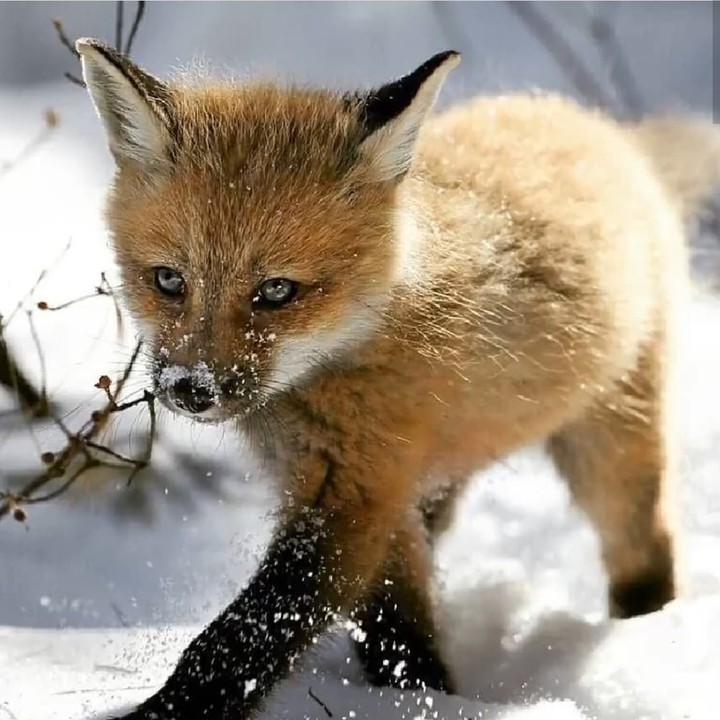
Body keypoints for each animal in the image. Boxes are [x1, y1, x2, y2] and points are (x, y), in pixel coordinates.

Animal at [75, 37, 720, 720]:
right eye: (169, 280)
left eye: (276, 291)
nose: (189, 390)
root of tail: (592, 124)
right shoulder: (372, 492)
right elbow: (395, 629)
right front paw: (417, 693)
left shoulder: (354, 495)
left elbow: (243, 636)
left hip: (610, 446)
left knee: (646, 549)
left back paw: (645, 633)